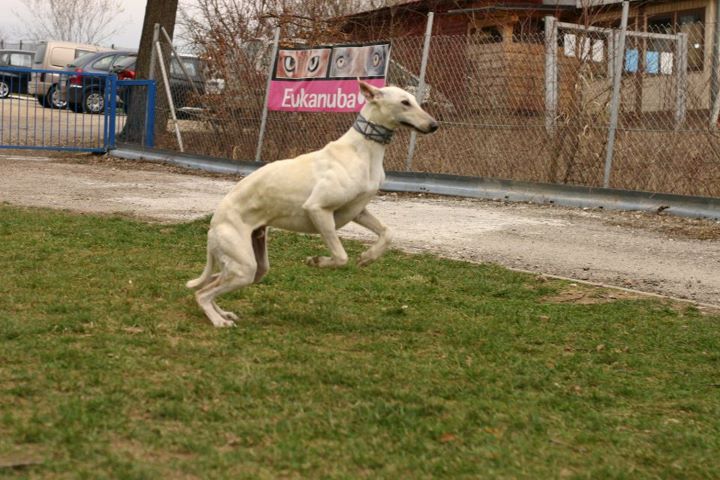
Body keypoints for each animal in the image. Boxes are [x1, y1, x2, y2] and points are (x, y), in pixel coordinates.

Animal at [186, 80, 438, 326]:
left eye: (415, 100)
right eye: (405, 102)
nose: (434, 125)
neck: (362, 151)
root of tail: (212, 226)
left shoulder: (358, 211)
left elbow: (388, 233)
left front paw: (368, 257)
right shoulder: (318, 209)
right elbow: (340, 257)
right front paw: (316, 261)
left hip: (252, 264)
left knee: (212, 282)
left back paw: (222, 313)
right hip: (243, 266)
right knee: (202, 293)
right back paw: (218, 321)